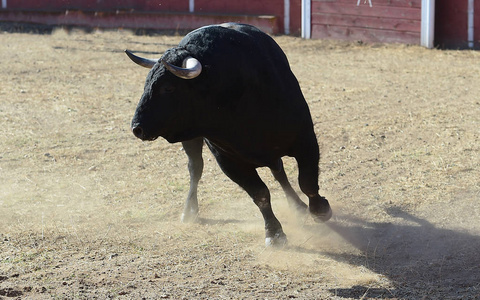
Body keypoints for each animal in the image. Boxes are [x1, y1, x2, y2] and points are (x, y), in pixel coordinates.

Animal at [125, 22, 332, 245]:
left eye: (168, 87)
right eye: (147, 83)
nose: (137, 127)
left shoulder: (305, 140)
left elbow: (307, 182)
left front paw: (321, 209)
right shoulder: (228, 160)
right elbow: (260, 194)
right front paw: (274, 233)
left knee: (279, 172)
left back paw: (298, 206)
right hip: (192, 140)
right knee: (195, 168)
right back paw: (189, 211)